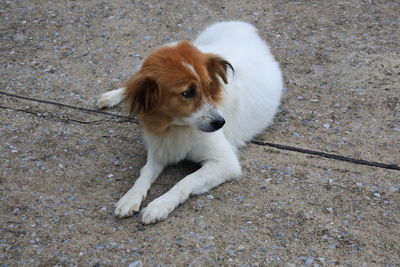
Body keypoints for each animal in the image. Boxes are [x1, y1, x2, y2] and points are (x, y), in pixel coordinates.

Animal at [97, 22, 282, 225]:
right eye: (187, 93)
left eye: (209, 86)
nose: (220, 123)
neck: (176, 126)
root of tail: (243, 25)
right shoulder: (160, 150)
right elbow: (143, 174)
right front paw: (130, 197)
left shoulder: (225, 163)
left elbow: (185, 181)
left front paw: (159, 205)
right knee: (131, 84)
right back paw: (111, 96)